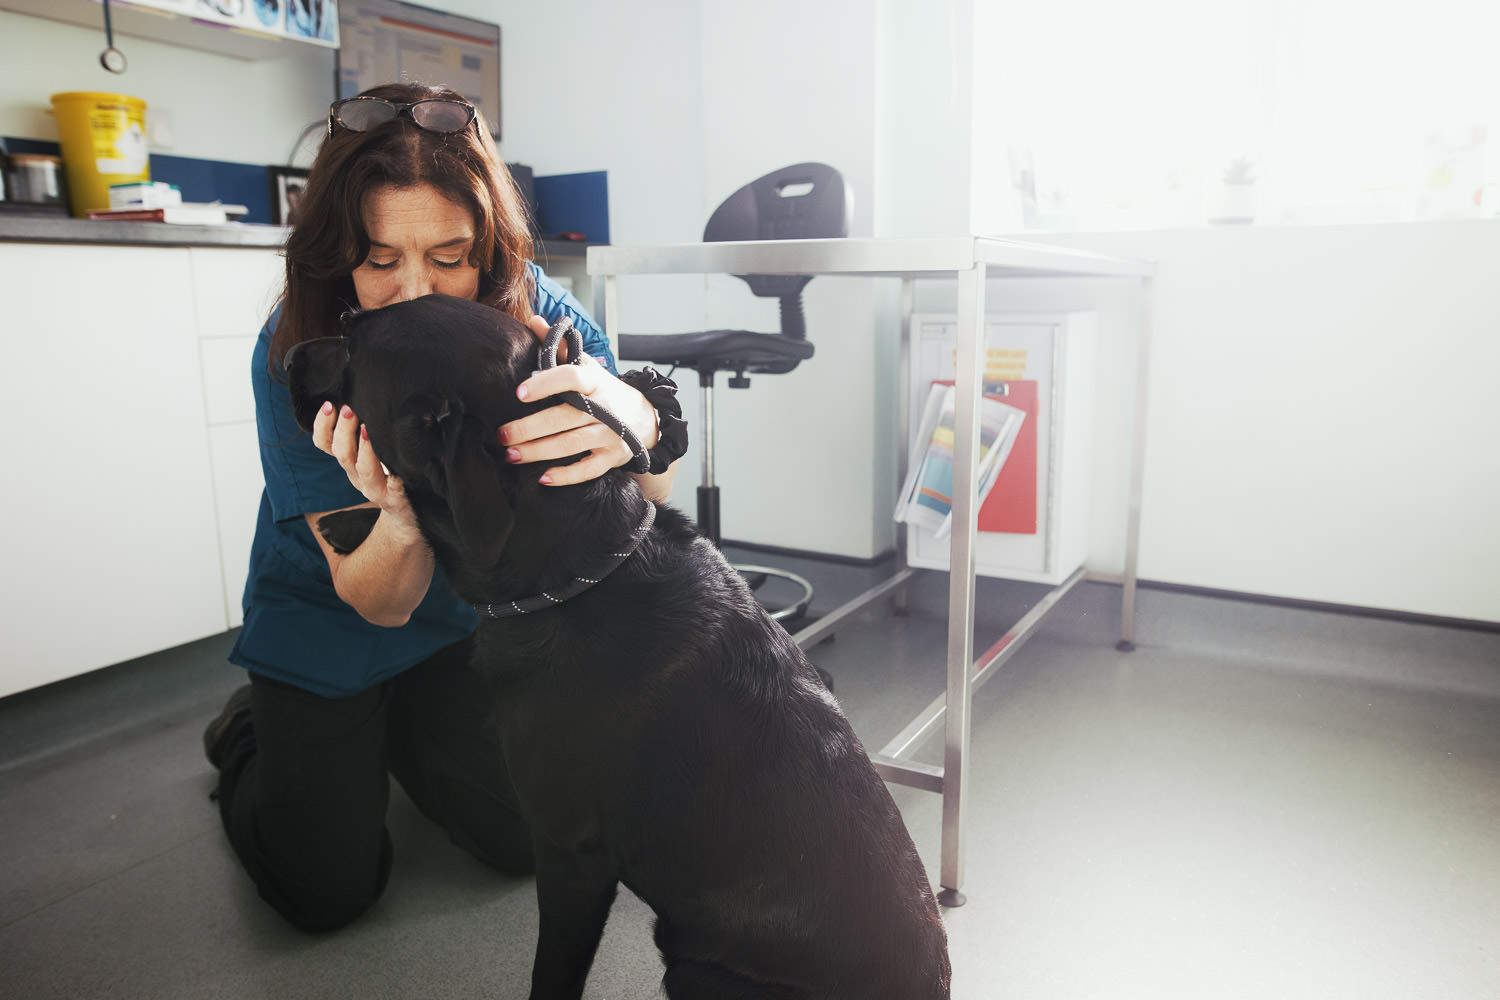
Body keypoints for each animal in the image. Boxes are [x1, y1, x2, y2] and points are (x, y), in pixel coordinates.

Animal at [283, 293, 948, 995]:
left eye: (351, 339)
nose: (288, 356)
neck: (575, 576)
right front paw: (349, 524)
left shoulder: (569, 854)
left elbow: (551, 975)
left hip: (694, 968)